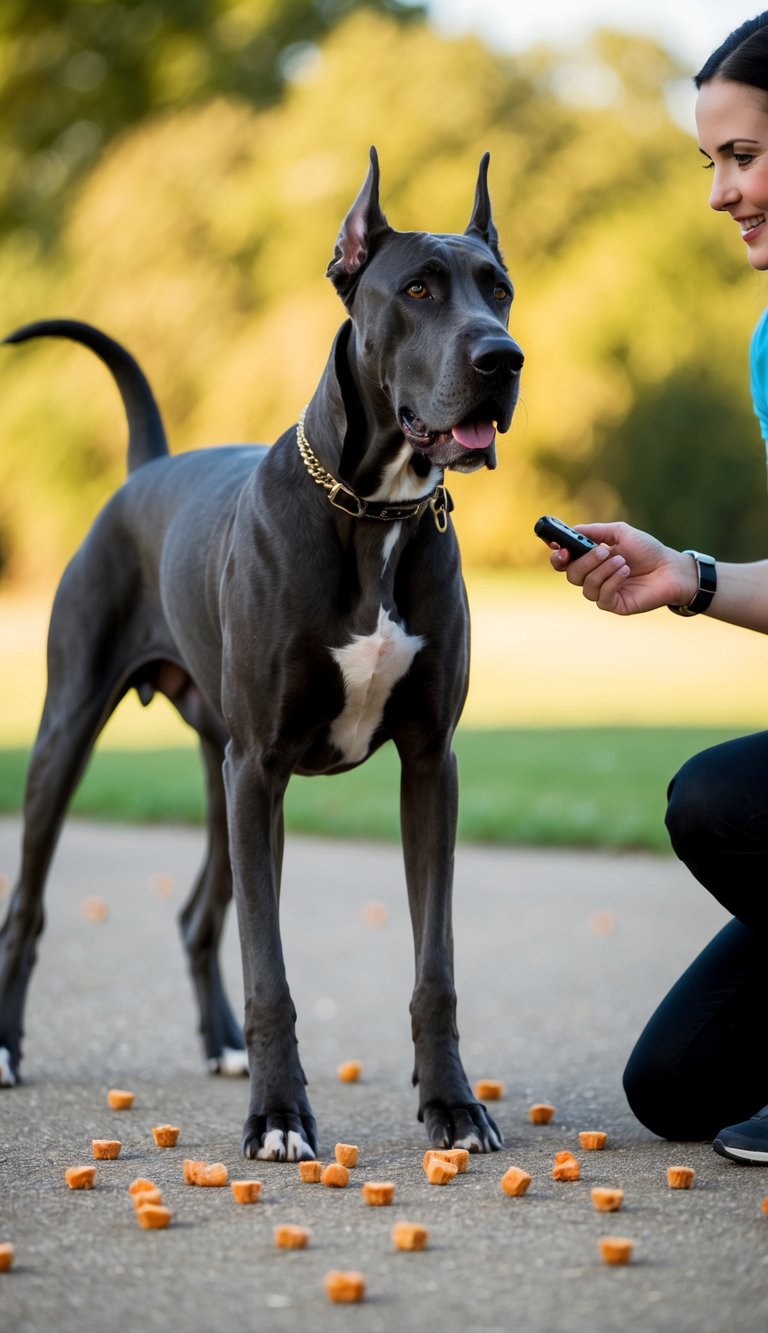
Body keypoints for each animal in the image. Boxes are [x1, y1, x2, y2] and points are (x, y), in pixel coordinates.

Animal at [0, 148, 523, 1160]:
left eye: (499, 290)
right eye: (419, 287)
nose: (502, 358)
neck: (372, 511)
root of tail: (145, 468)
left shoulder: (427, 763)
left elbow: (433, 962)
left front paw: (450, 1102)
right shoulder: (264, 765)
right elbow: (270, 968)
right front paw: (280, 1116)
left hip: (221, 763)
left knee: (200, 913)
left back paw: (221, 1044)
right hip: (79, 731)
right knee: (31, 904)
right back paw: (5, 1047)